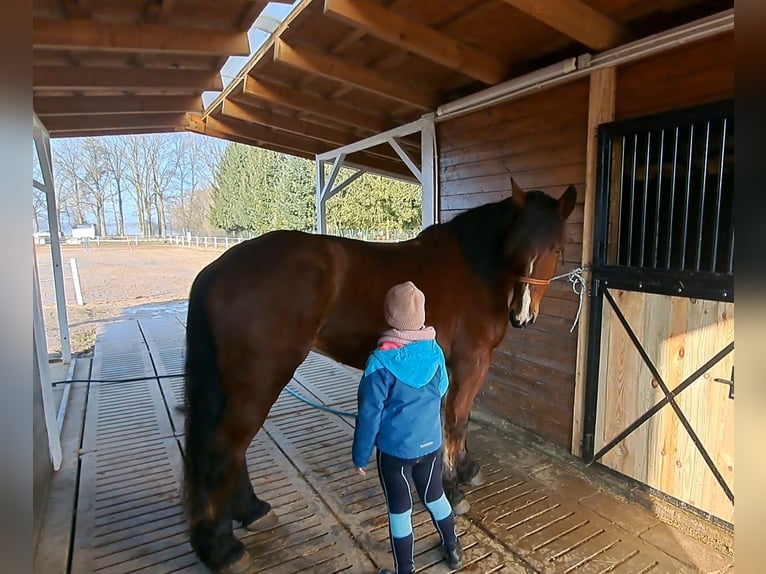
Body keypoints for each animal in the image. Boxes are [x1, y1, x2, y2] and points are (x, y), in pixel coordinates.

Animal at [182, 179, 576, 572]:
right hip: (259, 380)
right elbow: (456, 421)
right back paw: (223, 549)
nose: (521, 315)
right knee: (225, 449)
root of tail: (217, 271)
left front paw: (465, 469)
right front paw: (453, 487)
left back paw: (252, 512)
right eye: (515, 247)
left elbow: (453, 421)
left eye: (556, 248)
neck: (475, 268)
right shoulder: (471, 362)